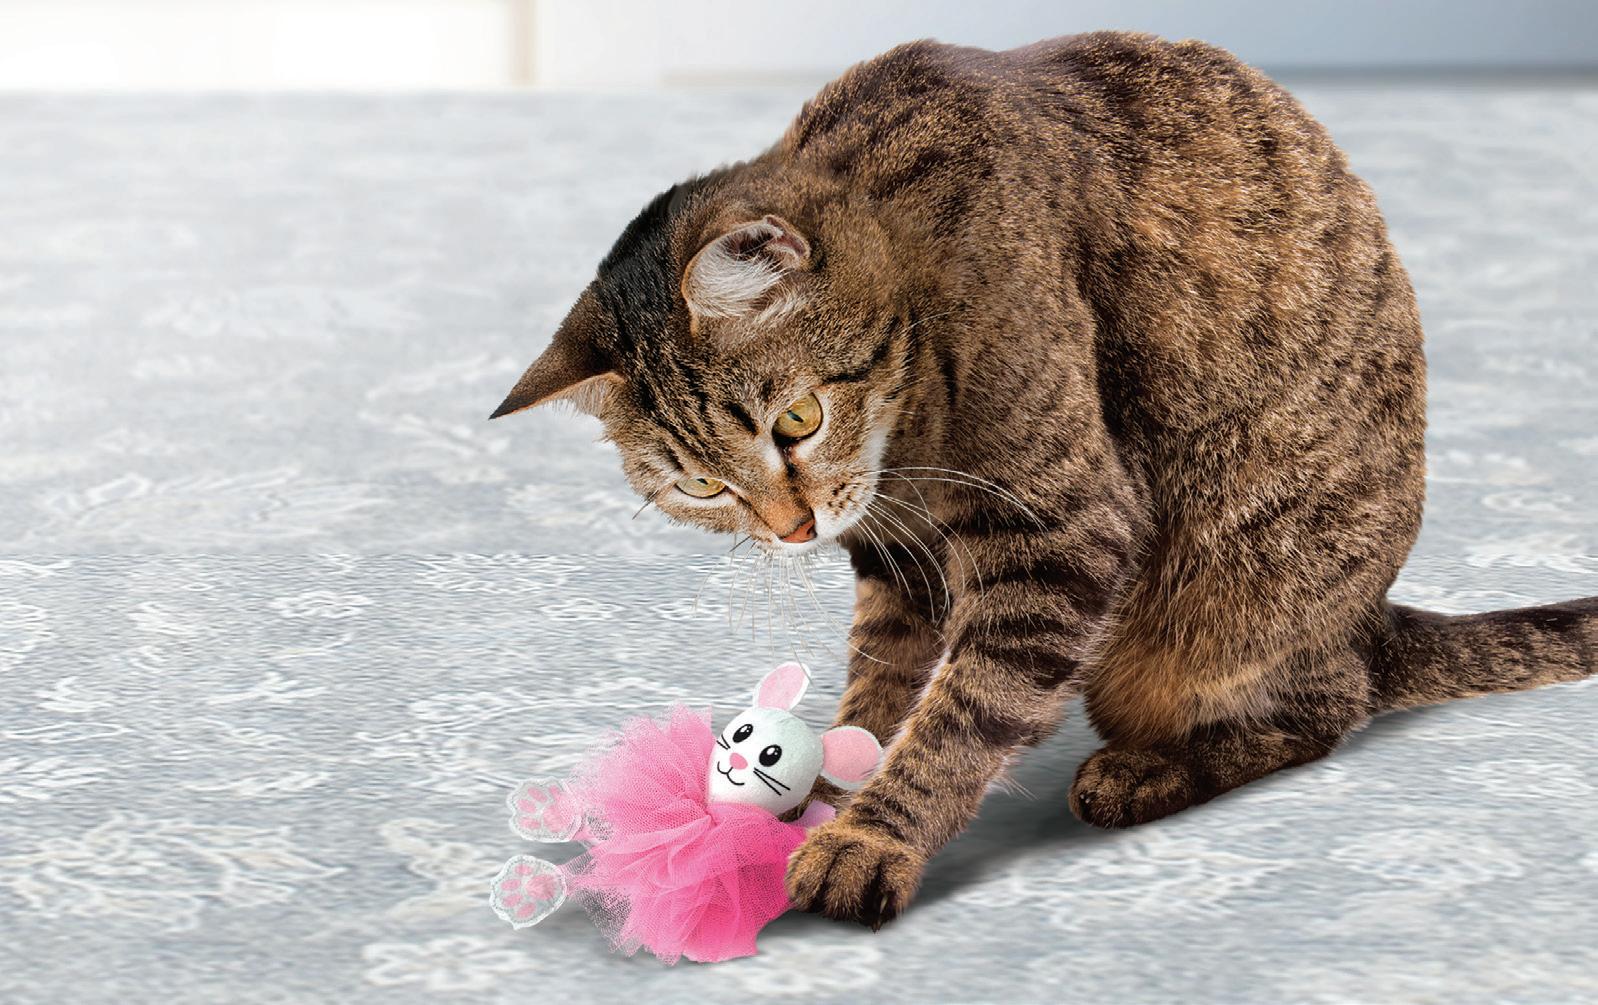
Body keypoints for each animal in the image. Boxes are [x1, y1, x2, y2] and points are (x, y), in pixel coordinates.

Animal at [490, 33, 1597, 928]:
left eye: (796, 420)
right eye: (701, 489)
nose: (793, 528)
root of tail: (1368, 620)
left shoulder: (1062, 530)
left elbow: (964, 712)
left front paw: (870, 836)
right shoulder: (896, 556)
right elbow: (882, 682)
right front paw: (829, 779)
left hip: (1216, 607)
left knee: (1323, 708)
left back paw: (1144, 771)